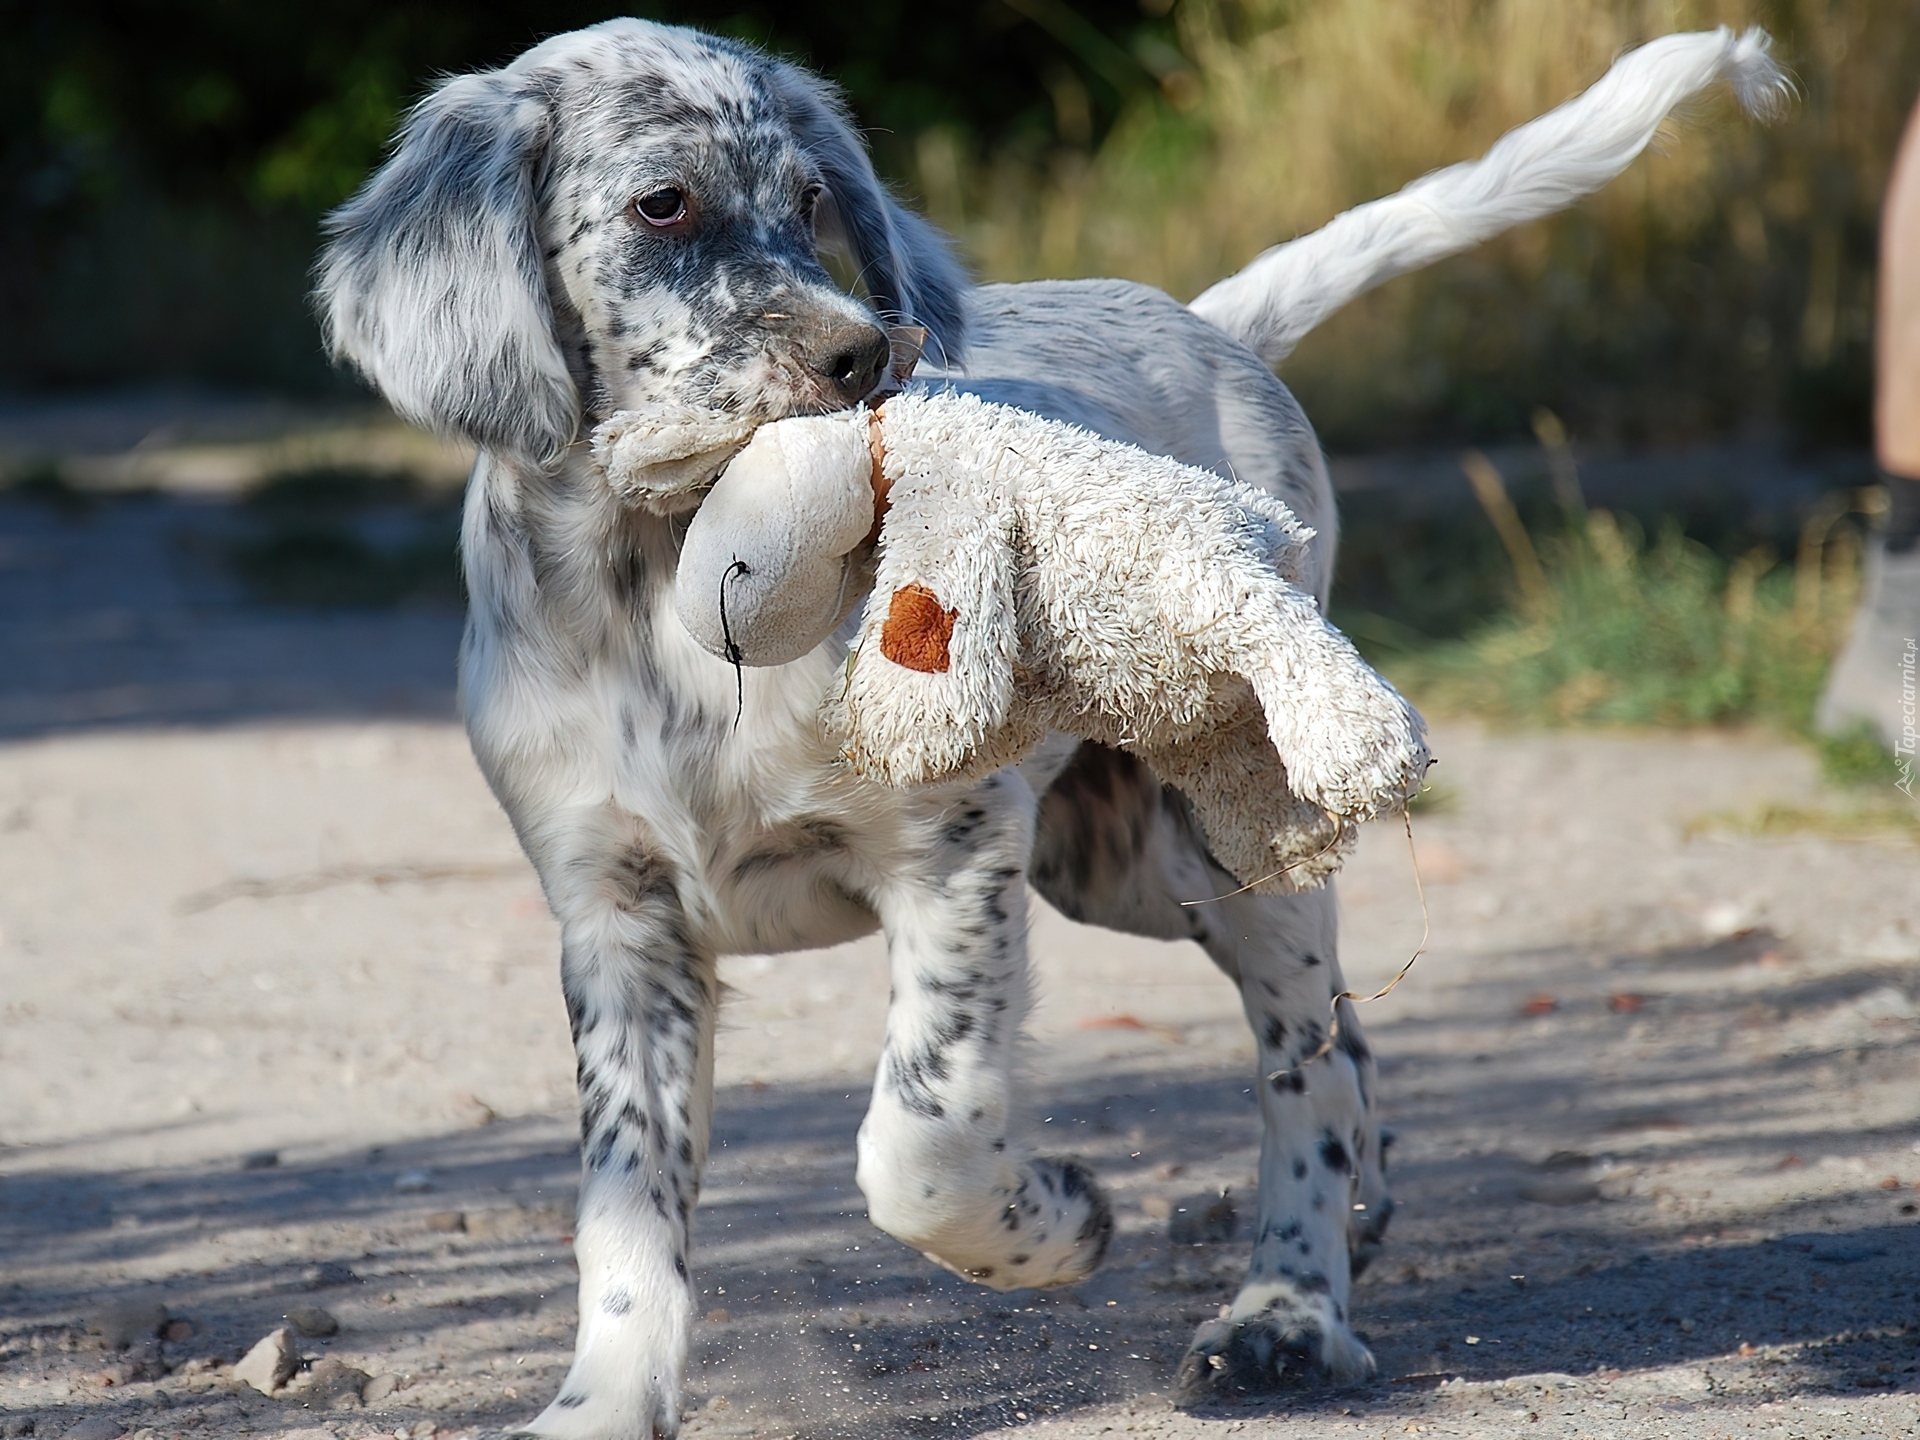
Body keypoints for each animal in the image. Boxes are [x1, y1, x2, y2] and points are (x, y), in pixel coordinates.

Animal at [311, 19, 1781, 1436]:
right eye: (662, 204)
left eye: (810, 200)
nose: (863, 355)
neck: (662, 594)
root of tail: (1205, 324)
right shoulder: (616, 918)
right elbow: (627, 1212)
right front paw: (604, 1404)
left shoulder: (956, 847)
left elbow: (922, 1140)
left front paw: (1054, 1225)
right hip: (1113, 865)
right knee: (1347, 1046)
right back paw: (1353, 1232)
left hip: (1215, 841)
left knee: (1308, 1070)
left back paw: (1289, 1313)